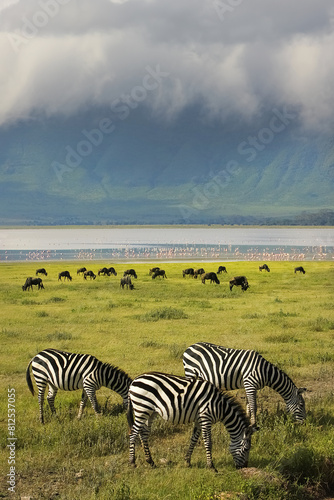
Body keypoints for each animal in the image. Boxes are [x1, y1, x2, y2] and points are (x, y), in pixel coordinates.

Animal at [126, 372, 254, 472]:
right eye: (246, 449)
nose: (244, 467)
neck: (219, 406)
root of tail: (134, 382)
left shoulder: (199, 420)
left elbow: (193, 439)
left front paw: (187, 461)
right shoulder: (206, 418)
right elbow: (208, 442)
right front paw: (211, 466)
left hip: (150, 412)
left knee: (144, 433)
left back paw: (150, 461)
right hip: (142, 409)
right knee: (133, 433)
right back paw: (132, 462)